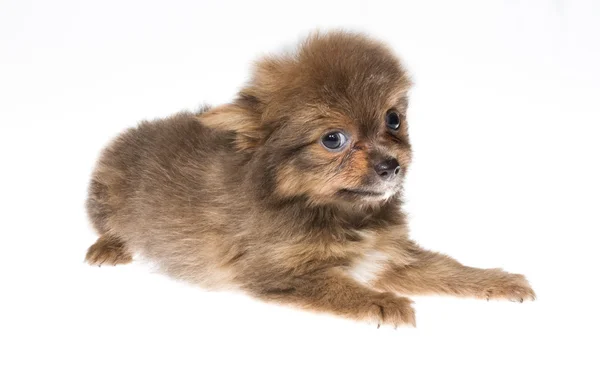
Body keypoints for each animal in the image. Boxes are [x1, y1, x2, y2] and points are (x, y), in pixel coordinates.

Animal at [85, 32, 536, 328]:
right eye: (333, 139)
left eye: (393, 120)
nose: (392, 165)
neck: (341, 212)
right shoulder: (281, 272)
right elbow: (337, 288)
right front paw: (385, 304)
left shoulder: (389, 256)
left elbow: (447, 269)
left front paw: (496, 281)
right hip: (105, 192)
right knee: (109, 225)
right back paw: (109, 247)